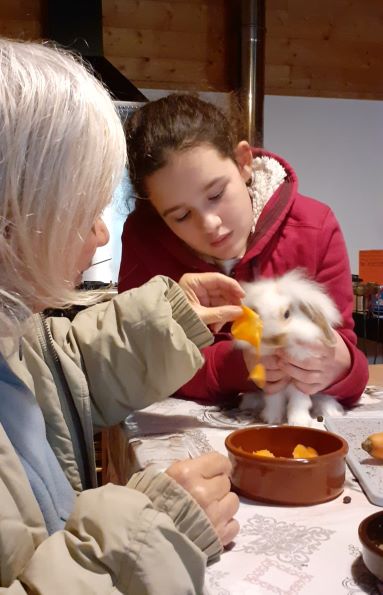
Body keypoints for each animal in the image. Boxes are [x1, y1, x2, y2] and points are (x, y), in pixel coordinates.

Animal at [240, 270, 344, 428]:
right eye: (257, 315)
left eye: (287, 314)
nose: (272, 340)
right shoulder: (273, 384)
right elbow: (274, 401)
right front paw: (271, 419)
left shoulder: (300, 384)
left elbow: (298, 403)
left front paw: (299, 422)